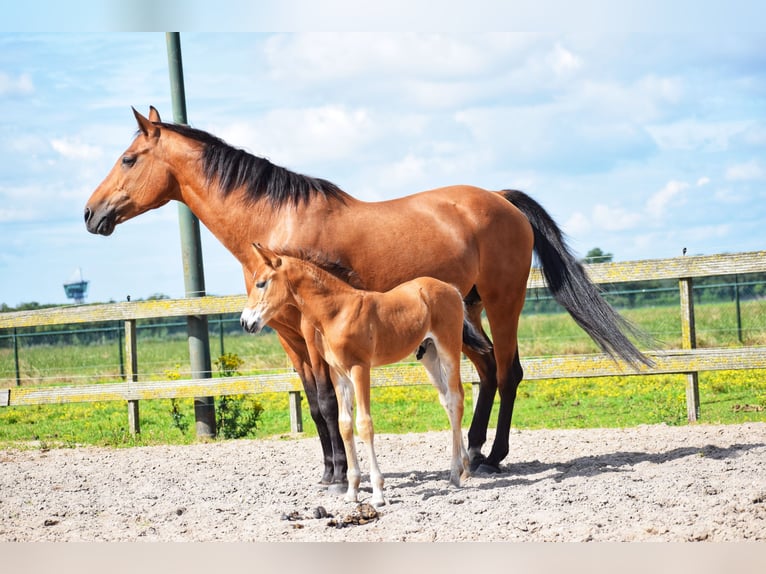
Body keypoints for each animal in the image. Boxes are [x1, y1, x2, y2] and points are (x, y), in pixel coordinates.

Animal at [242, 245, 492, 506]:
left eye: (261, 283)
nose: (245, 322)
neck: (338, 312)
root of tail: (452, 289)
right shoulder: (339, 374)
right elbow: (344, 425)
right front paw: (351, 491)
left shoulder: (359, 368)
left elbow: (364, 424)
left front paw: (378, 493)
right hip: (429, 354)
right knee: (446, 401)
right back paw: (462, 468)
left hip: (448, 349)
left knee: (456, 398)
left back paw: (454, 474)